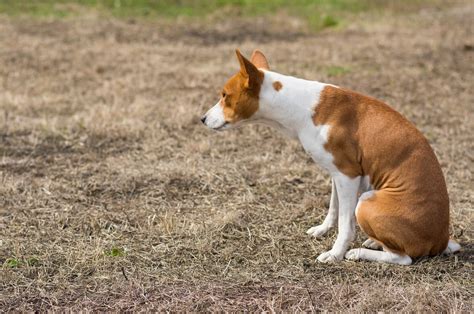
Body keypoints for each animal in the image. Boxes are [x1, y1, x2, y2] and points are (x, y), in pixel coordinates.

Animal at [200, 49, 460, 264]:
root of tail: (440, 241)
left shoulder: (348, 175)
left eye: (224, 95)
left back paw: (360, 253)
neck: (299, 106)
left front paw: (335, 254)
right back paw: (374, 241)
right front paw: (322, 230)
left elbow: (346, 225)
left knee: (403, 258)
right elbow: (334, 209)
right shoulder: (338, 174)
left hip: (368, 201)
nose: (202, 119)